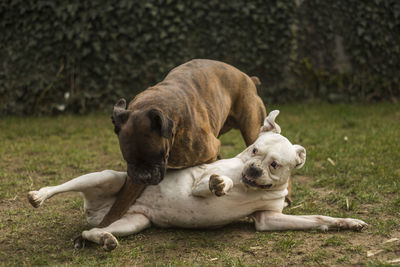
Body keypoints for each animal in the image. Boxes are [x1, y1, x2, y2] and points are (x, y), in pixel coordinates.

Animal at [27, 110, 366, 251]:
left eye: (274, 165)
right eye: (254, 149)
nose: (253, 169)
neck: (251, 188)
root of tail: (96, 213)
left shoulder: (268, 219)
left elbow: (318, 219)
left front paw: (348, 223)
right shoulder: (199, 181)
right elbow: (214, 182)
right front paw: (222, 185)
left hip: (134, 222)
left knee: (92, 232)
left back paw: (104, 239)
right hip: (107, 177)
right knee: (63, 187)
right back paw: (40, 195)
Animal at [97, 59, 268, 229]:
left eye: (157, 156)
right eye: (128, 159)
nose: (143, 177)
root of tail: (248, 78)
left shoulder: (209, 153)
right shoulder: (133, 176)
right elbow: (120, 203)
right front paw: (103, 226)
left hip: (252, 130)